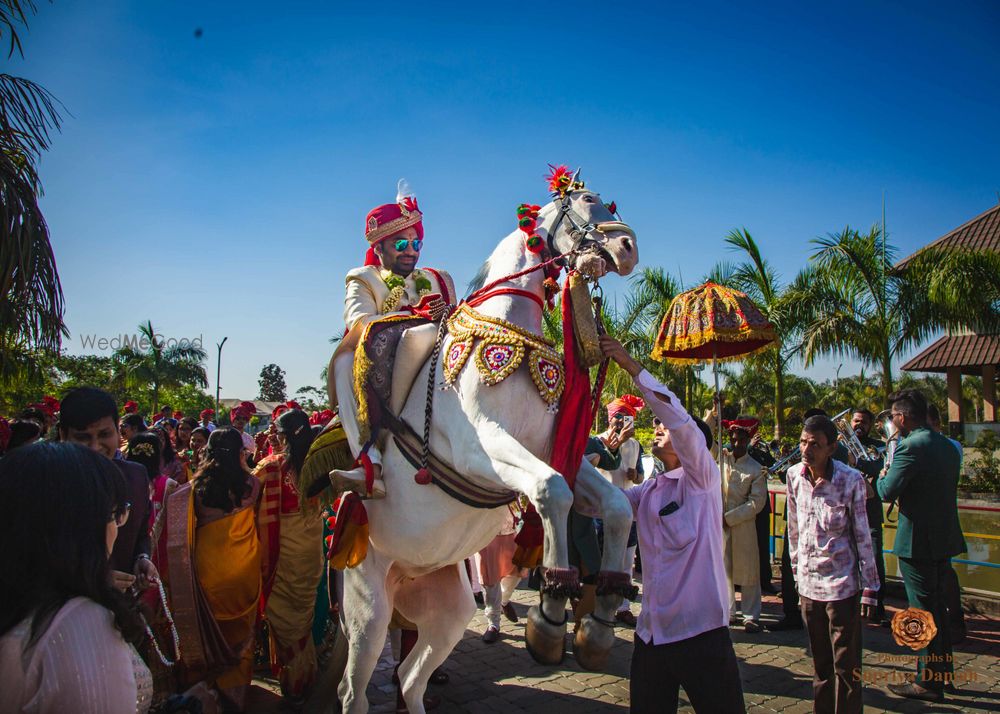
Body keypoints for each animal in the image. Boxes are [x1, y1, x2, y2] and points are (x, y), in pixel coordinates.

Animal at [330, 174, 640, 712]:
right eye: (585, 201)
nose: (627, 248)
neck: (508, 331)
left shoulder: (551, 450)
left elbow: (616, 505)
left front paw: (600, 620)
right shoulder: (479, 450)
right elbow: (552, 491)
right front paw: (551, 610)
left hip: (447, 612)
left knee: (410, 678)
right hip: (367, 607)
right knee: (354, 692)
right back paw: (363, 474)